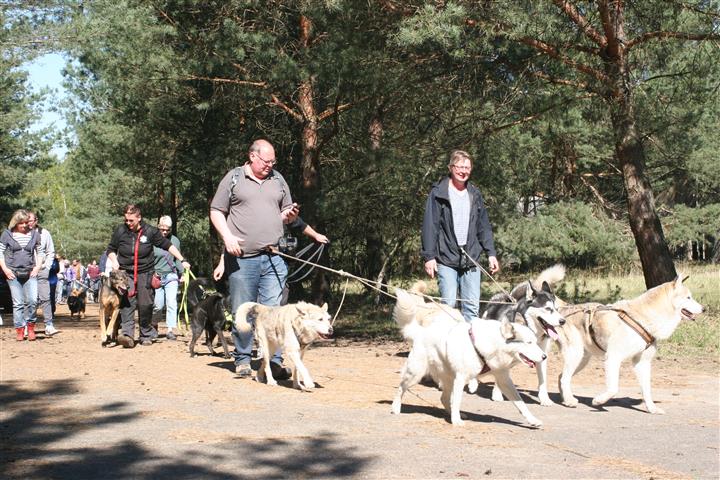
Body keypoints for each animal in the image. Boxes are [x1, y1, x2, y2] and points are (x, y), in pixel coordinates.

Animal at [391, 288, 546, 427]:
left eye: (535, 342)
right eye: (529, 343)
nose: (544, 356)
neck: (493, 344)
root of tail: (421, 332)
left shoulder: (503, 380)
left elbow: (521, 403)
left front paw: (533, 420)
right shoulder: (461, 378)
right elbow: (458, 400)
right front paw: (456, 421)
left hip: (448, 379)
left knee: (444, 398)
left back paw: (452, 413)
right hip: (415, 374)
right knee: (401, 388)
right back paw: (396, 408)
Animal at [481, 264, 566, 406]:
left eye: (556, 309)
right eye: (548, 309)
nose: (563, 321)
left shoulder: (542, 354)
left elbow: (543, 380)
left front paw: (544, 399)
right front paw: (497, 394)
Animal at [555, 275, 703, 414]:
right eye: (688, 297)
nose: (704, 309)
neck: (643, 318)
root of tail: (564, 308)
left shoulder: (642, 362)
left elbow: (647, 390)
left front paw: (652, 409)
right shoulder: (613, 357)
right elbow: (613, 388)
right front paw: (599, 401)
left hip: (582, 359)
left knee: (561, 376)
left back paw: (565, 400)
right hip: (575, 355)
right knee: (564, 378)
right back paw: (569, 401)